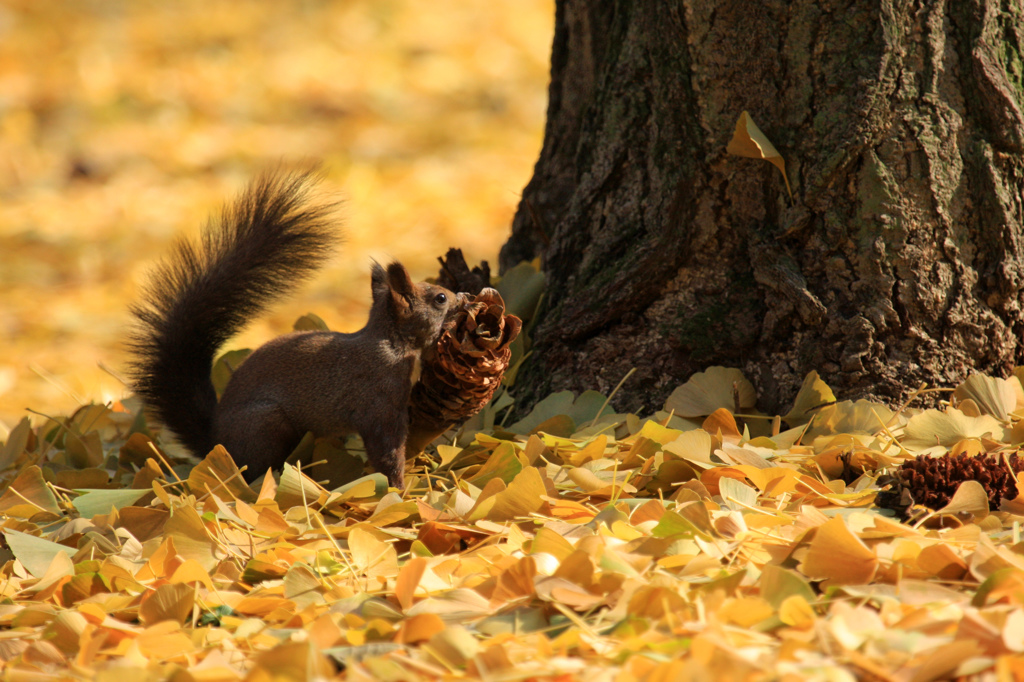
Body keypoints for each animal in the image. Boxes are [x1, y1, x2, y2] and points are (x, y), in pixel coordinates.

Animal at [125, 166, 462, 485]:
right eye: (440, 298)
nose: (464, 297)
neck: (391, 342)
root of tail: (217, 443)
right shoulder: (378, 403)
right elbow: (387, 450)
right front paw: (401, 488)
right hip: (267, 426)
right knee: (253, 471)